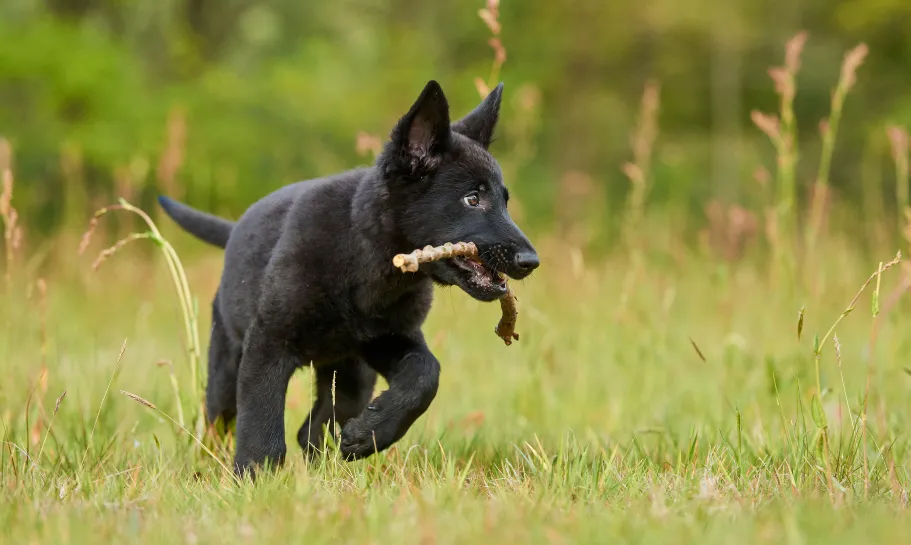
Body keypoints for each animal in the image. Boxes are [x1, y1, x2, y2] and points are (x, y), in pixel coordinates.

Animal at [159, 81, 540, 476]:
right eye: (473, 199)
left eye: (505, 201)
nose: (531, 261)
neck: (368, 262)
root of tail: (235, 228)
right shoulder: (268, 342)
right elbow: (261, 422)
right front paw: (257, 477)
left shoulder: (388, 338)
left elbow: (427, 373)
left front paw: (369, 434)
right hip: (227, 361)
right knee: (220, 421)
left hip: (352, 372)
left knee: (314, 427)